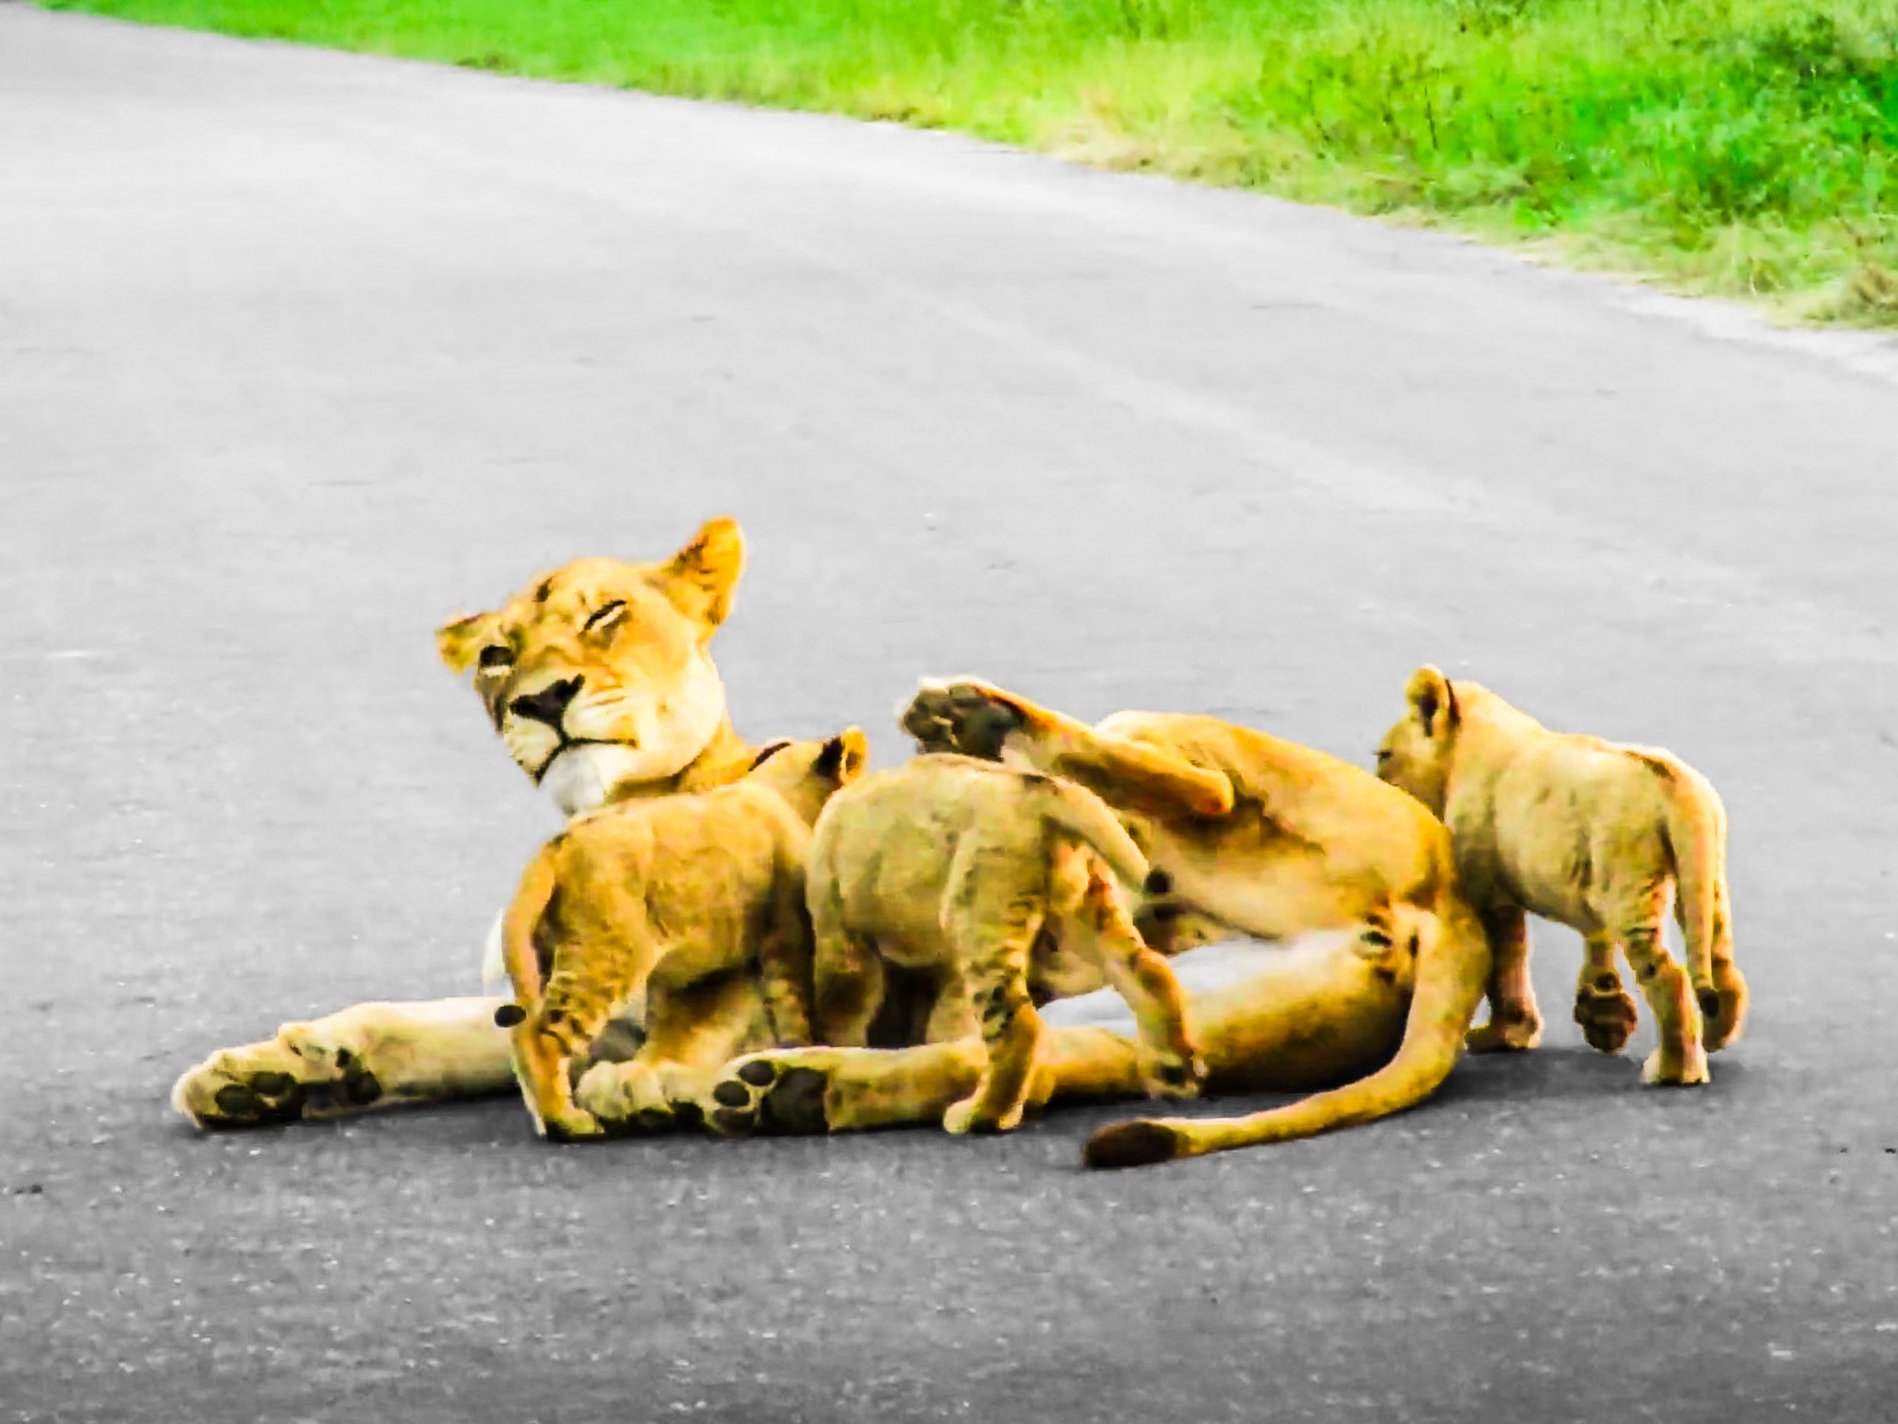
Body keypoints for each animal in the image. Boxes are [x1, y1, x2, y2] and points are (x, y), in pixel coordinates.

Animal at [496, 730, 869, 1141]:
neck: (776, 790)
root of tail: (557, 847)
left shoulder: (702, 971)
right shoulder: (787, 933)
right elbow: (793, 1009)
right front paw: (796, 1051)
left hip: (546, 959)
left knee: (520, 1032)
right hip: (608, 953)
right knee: (542, 1037)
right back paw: (570, 1121)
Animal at [802, 753, 1204, 1135]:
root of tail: (1044, 788)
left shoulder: (840, 938)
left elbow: (842, 1011)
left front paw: (837, 1046)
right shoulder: (943, 963)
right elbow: (945, 1021)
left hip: (980, 914)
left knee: (1018, 1025)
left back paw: (981, 1116)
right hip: (1086, 907)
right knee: (1149, 970)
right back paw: (1175, 1072)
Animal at [1372, 664, 1748, 1086]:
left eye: (1384, 756)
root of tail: (1679, 788)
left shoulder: (1488, 892)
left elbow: (1505, 963)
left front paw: (1503, 1035)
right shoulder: (1584, 887)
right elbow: (1589, 942)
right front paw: (1604, 1014)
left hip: (1631, 892)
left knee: (1669, 977)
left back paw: (1673, 1071)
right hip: (1702, 878)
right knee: (1721, 964)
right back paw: (1715, 1037)